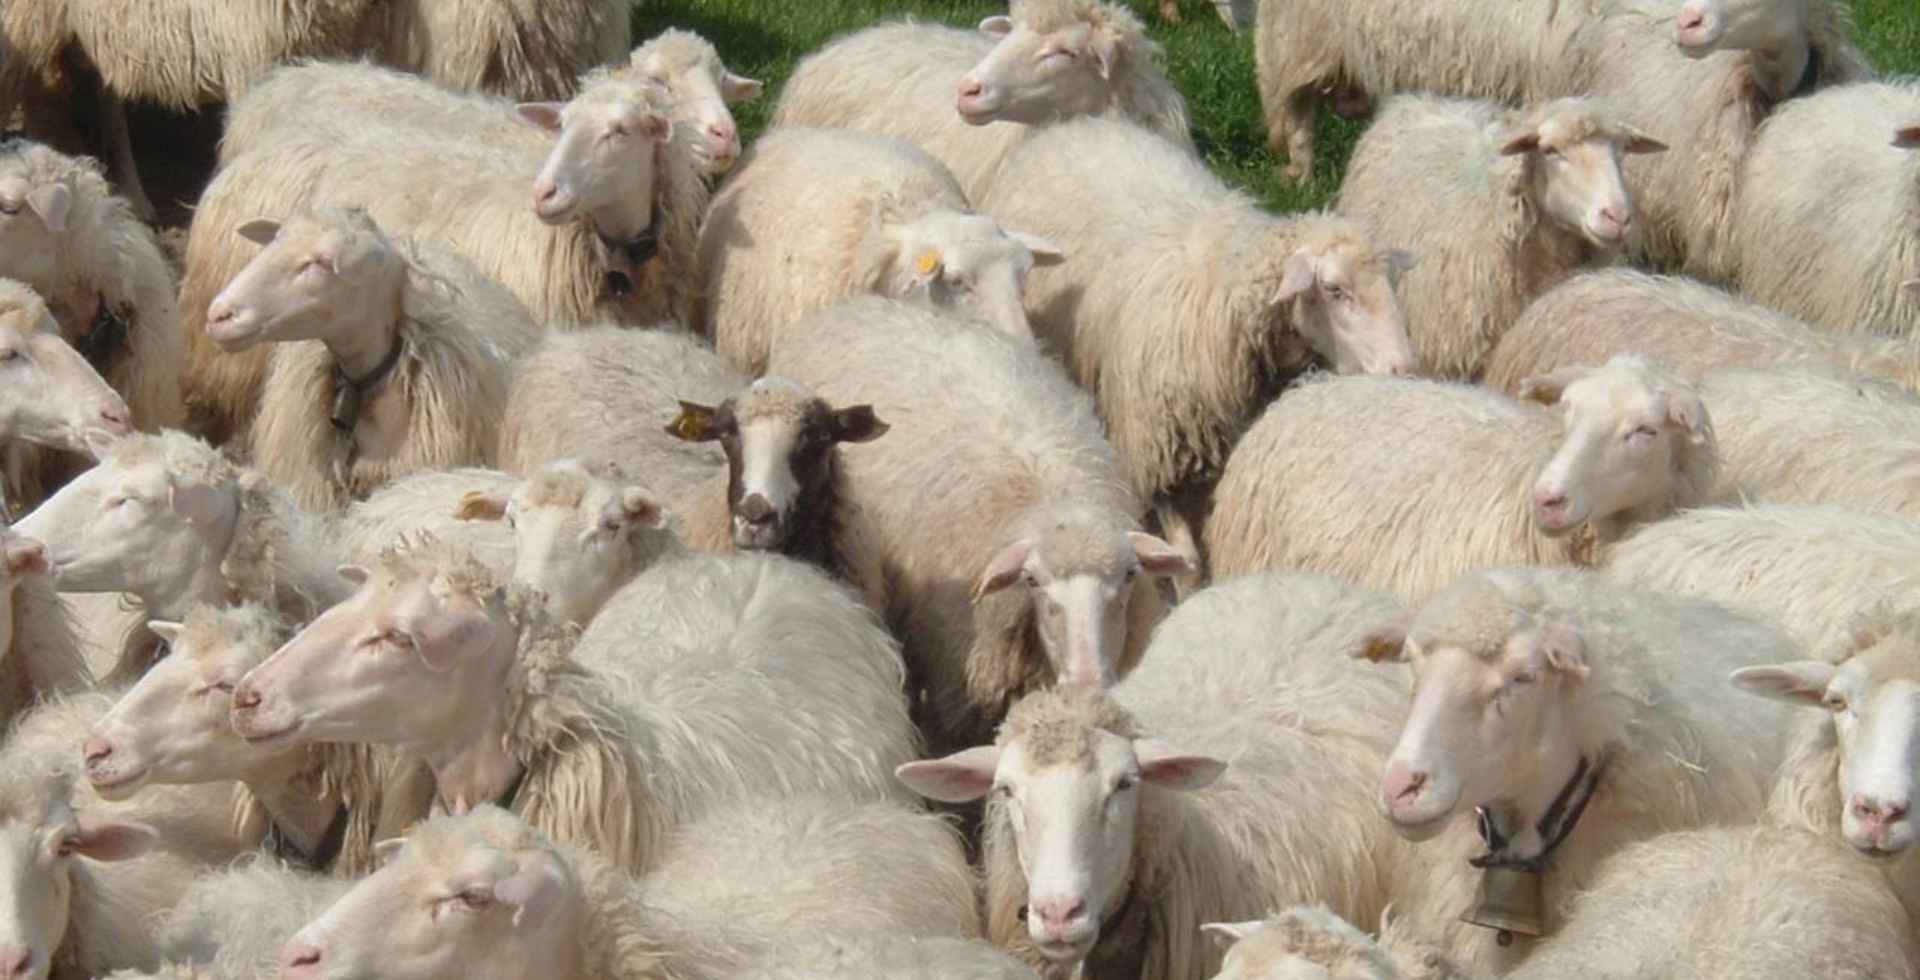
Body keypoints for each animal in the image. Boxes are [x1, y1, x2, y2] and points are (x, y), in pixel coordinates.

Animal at [770, 297, 1189, 752]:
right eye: (1032, 581)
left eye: (1130, 575)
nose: (1087, 681)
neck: (1053, 498)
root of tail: (855, 303)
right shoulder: (956, 692)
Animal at [978, 116, 1414, 566]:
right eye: (1334, 289)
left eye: (1390, 283)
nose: (1402, 367)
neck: (1224, 296)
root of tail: (1070, 126)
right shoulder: (1160, 457)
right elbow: (1186, 557)